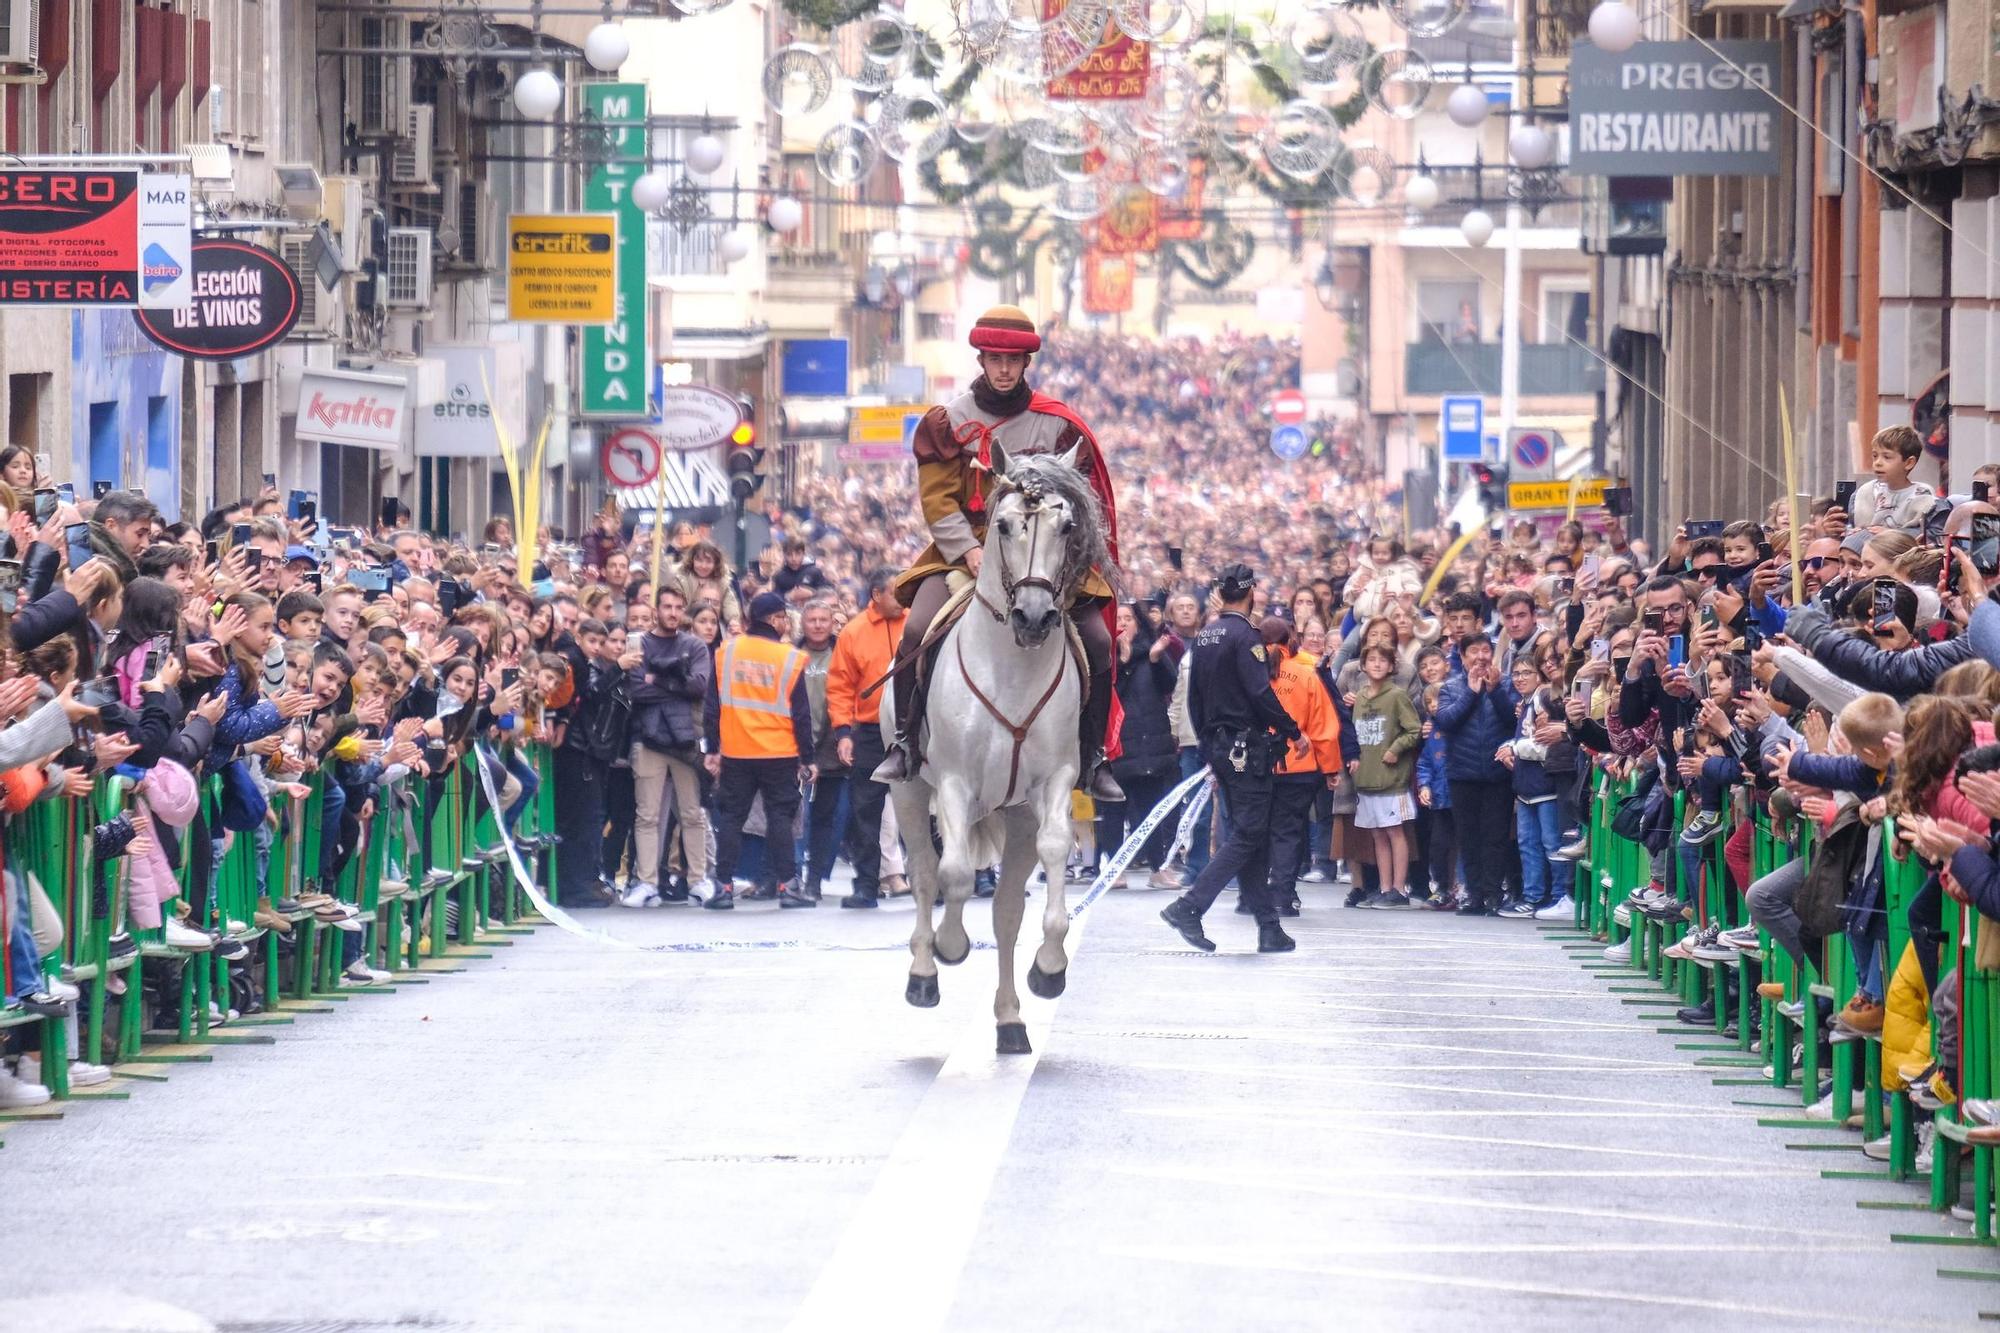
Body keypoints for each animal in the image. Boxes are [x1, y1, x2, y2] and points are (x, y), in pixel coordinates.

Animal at [888, 444, 1112, 1048]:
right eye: (1005, 525)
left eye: (1067, 525)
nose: (1033, 617)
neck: (1013, 666)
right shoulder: (954, 783)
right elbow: (955, 875)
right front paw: (949, 947)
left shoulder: (1053, 784)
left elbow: (1055, 856)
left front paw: (1050, 967)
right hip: (909, 793)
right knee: (924, 873)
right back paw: (923, 973)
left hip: (1015, 814)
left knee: (1008, 909)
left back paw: (1010, 1018)